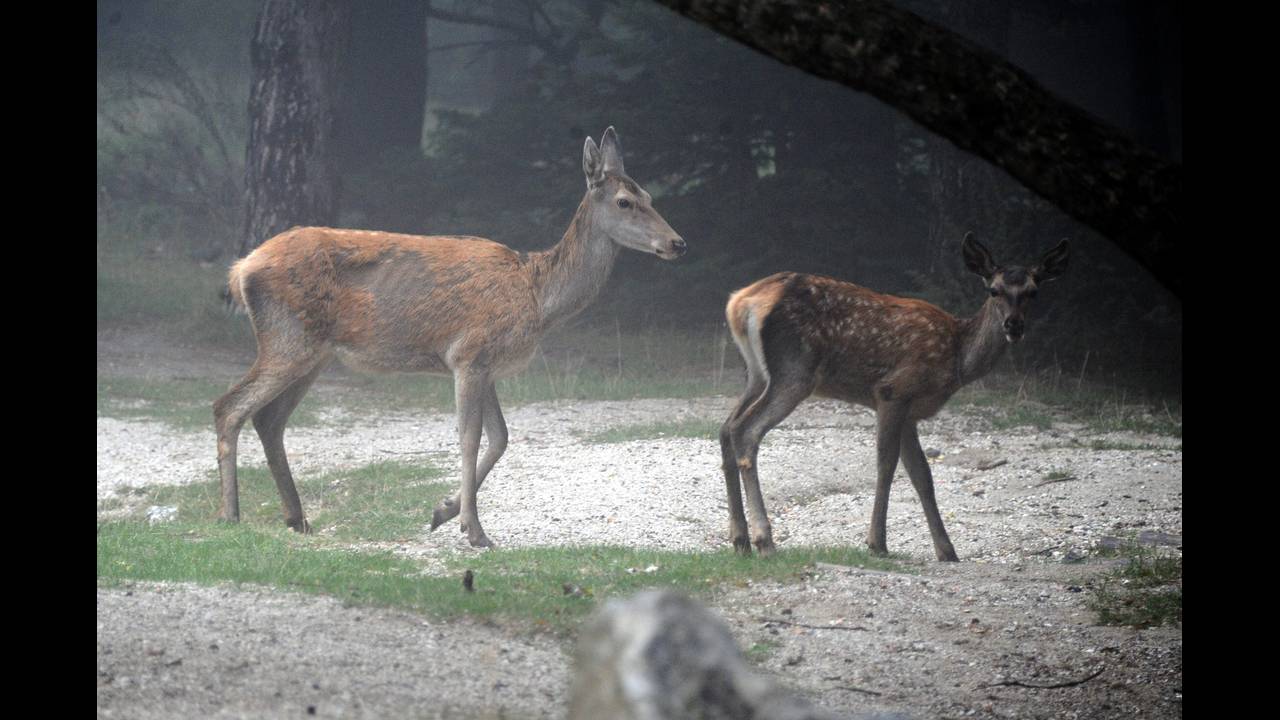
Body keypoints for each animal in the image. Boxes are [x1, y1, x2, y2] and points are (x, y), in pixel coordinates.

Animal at [215, 127, 686, 543]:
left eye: (650, 197)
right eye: (625, 201)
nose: (677, 242)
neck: (538, 297)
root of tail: (241, 269)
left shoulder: (487, 366)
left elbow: (500, 438)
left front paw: (443, 511)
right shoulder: (468, 355)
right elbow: (469, 439)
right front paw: (474, 531)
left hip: (314, 353)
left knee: (269, 419)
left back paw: (297, 519)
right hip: (289, 338)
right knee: (229, 407)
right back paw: (231, 515)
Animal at [721, 233, 1070, 558]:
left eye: (1033, 292)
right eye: (993, 290)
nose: (1014, 325)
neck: (958, 358)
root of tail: (741, 302)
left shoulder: (911, 412)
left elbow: (922, 476)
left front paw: (947, 551)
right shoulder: (893, 391)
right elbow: (887, 465)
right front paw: (877, 543)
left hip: (758, 374)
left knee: (727, 428)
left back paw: (740, 540)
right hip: (794, 371)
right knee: (746, 430)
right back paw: (764, 539)